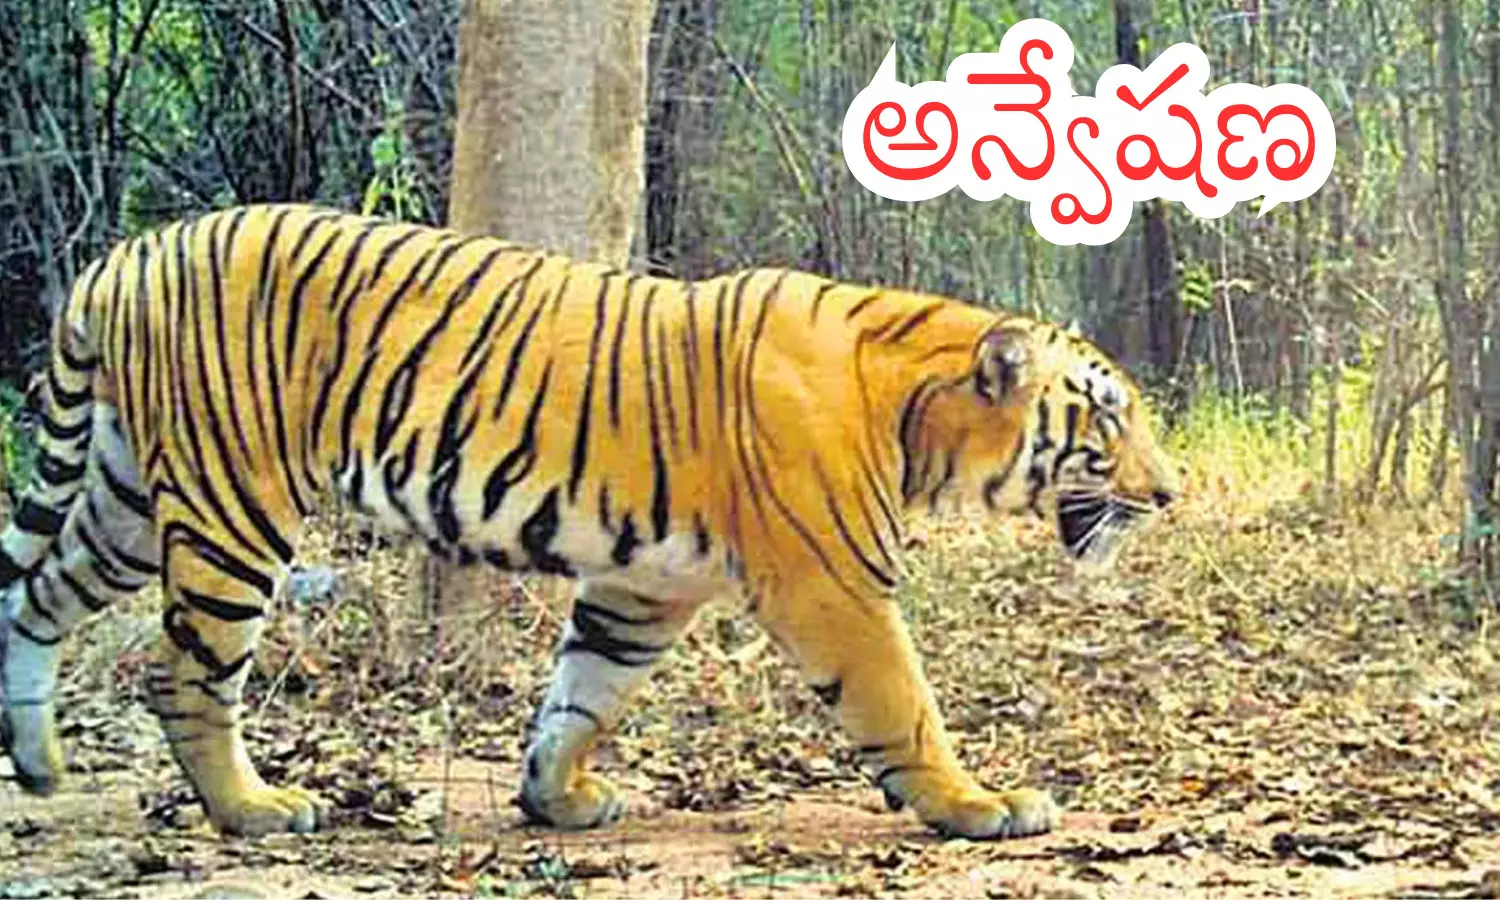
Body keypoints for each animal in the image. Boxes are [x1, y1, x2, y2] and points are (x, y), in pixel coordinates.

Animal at [0, 204, 1179, 840]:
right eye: (1107, 417)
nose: (1170, 496)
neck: (916, 411)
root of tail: (129, 252)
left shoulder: (644, 586)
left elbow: (583, 693)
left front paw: (554, 799)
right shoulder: (832, 584)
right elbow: (906, 703)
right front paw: (977, 803)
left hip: (125, 502)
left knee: (32, 596)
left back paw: (38, 761)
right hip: (232, 503)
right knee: (182, 672)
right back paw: (253, 810)